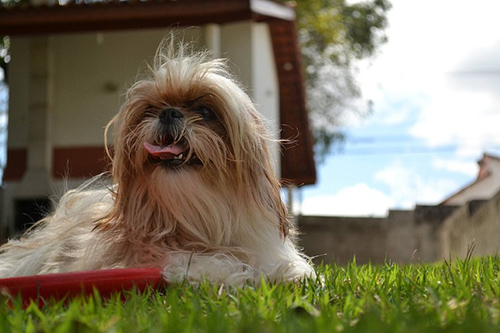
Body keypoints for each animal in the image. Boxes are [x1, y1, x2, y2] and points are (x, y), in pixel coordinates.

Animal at [0, 38, 314, 282]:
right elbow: (198, 262)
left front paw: (289, 273)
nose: (169, 112)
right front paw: (226, 271)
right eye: (151, 109)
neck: (195, 222)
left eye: (205, 111)